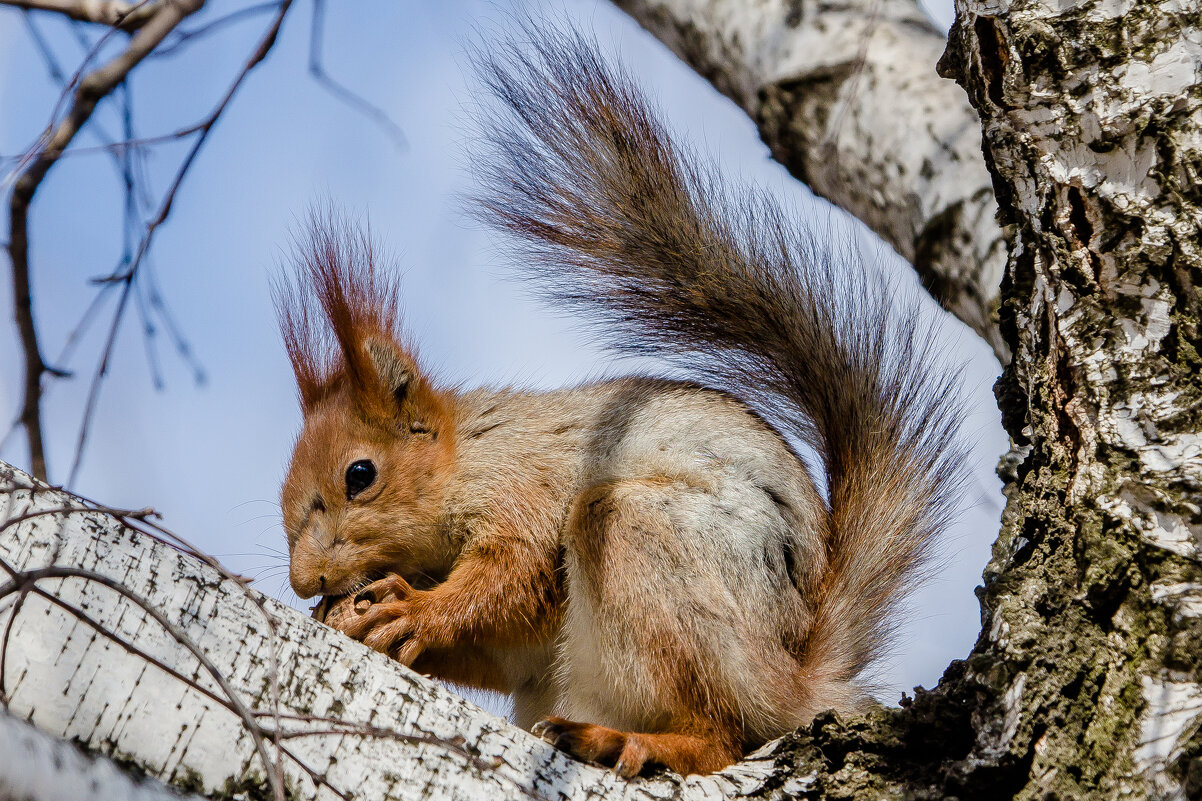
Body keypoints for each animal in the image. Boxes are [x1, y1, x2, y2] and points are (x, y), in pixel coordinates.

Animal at [275, 23, 966, 774]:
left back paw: (634, 742)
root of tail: (794, 682)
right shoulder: (515, 643)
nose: (304, 581)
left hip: (642, 544)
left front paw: (414, 611)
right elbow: (500, 645)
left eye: (359, 474)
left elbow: (511, 575)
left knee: (720, 734)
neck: (467, 456)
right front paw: (360, 620)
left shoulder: (525, 487)